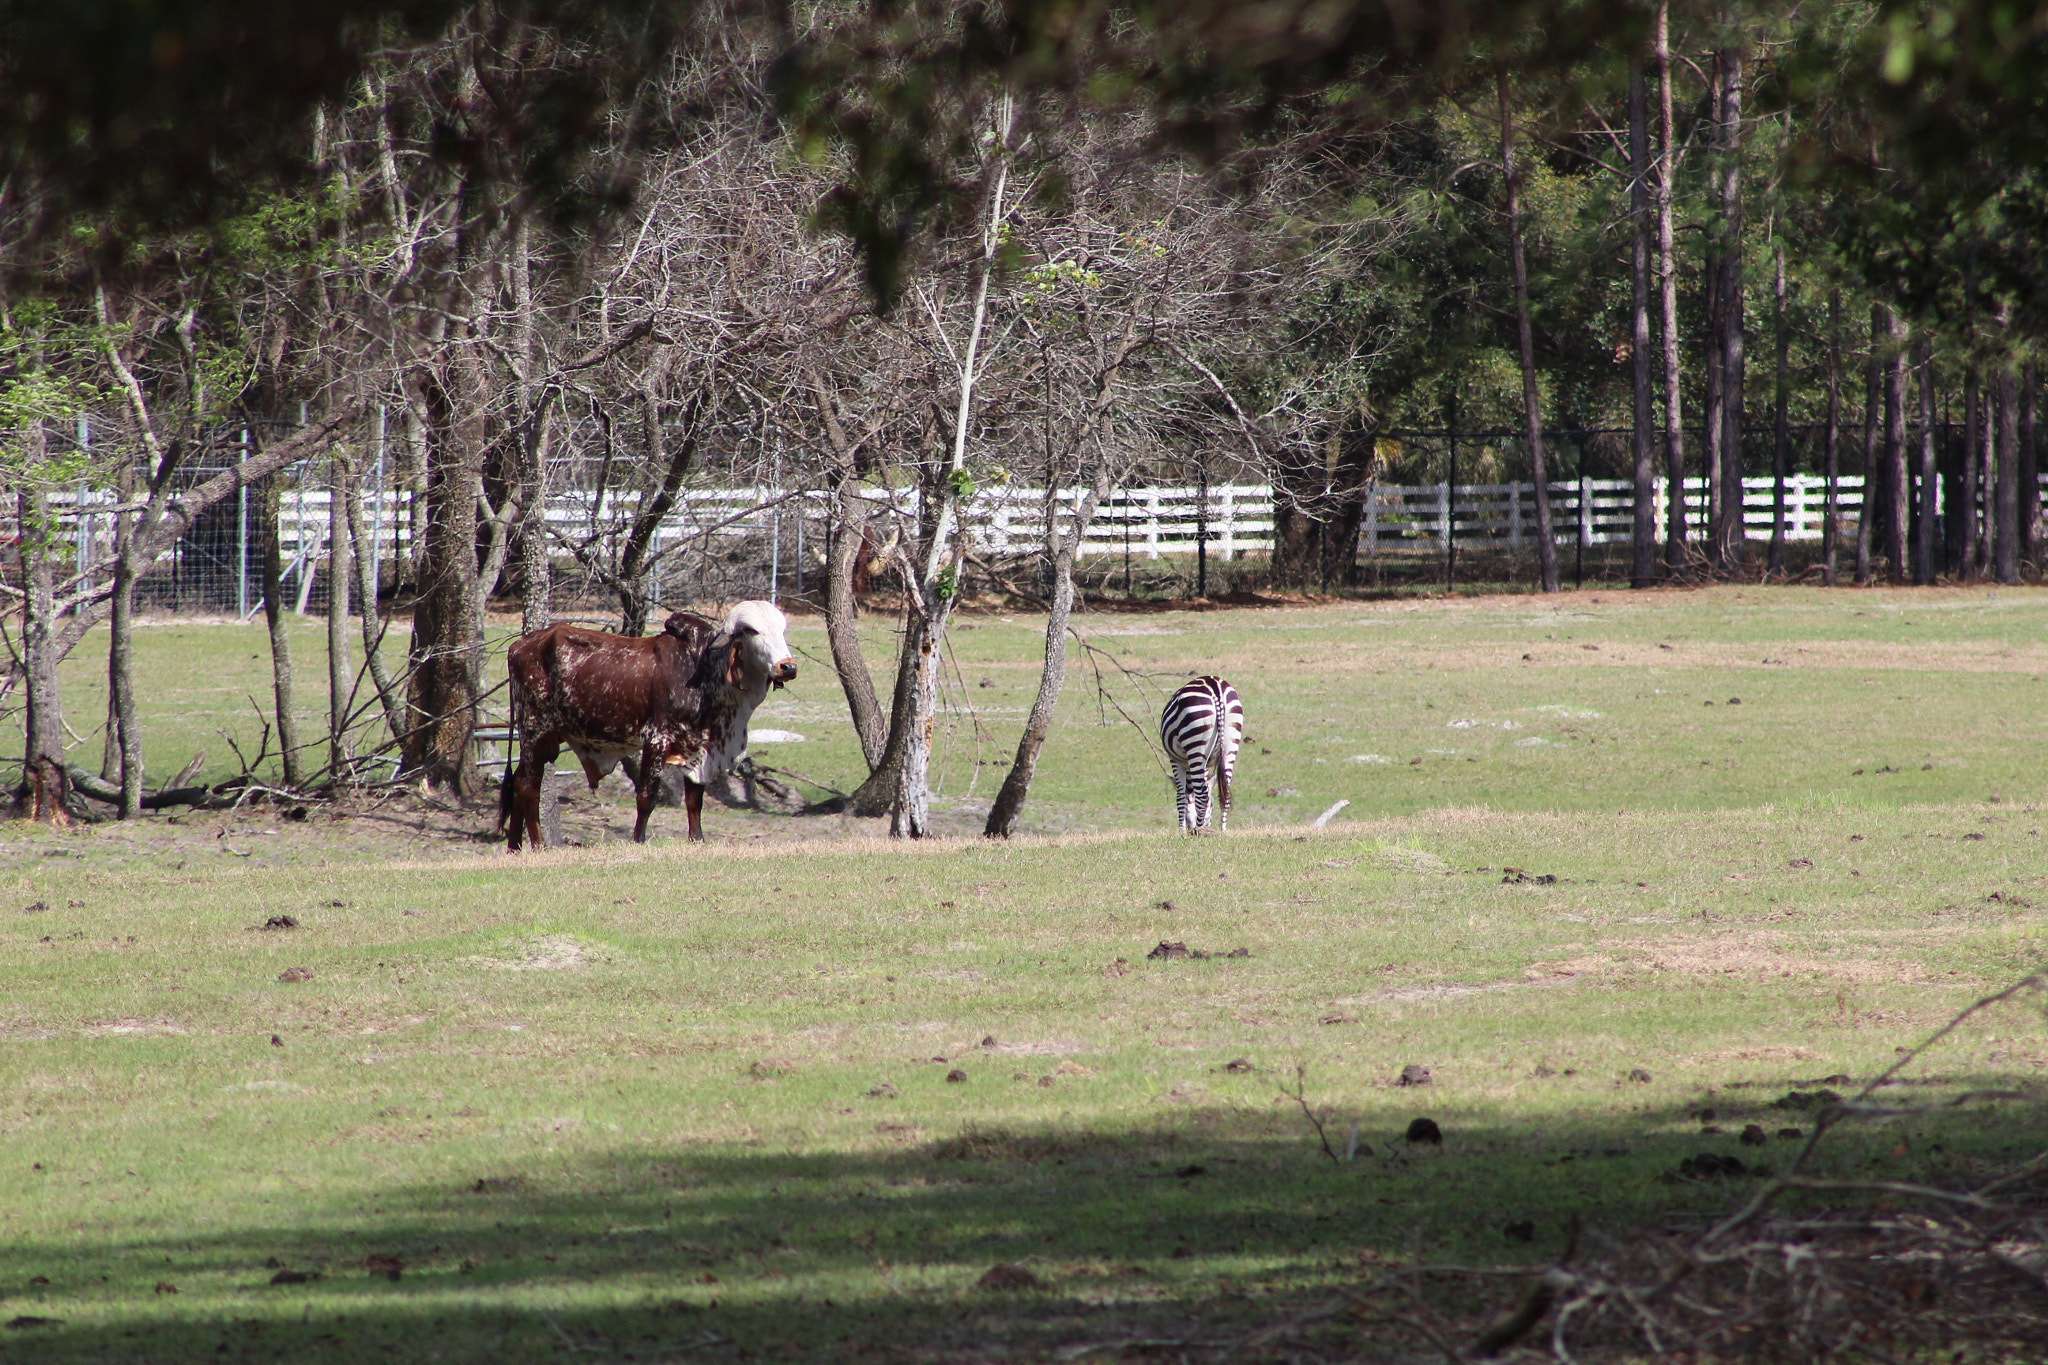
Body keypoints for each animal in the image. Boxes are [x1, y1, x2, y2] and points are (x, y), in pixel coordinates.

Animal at [503, 601, 798, 847]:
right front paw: (638, 840)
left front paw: (697, 839)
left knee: (517, 783)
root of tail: (519, 646)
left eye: (782, 630)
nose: (788, 667)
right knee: (528, 788)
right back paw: (539, 845)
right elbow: (647, 797)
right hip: (534, 730)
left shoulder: (698, 748)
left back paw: (514, 847)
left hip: (546, 741)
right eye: (752, 631)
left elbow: (694, 800)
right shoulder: (657, 739)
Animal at [1163, 679, 1236, 834]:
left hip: (1195, 738)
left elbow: (1180, 796)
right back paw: (1222, 830)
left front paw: (1181, 831)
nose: (1191, 826)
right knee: (1225, 792)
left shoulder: (1175, 760)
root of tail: (1216, 688)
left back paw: (1199, 831)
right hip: (1231, 740)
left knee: (1202, 794)